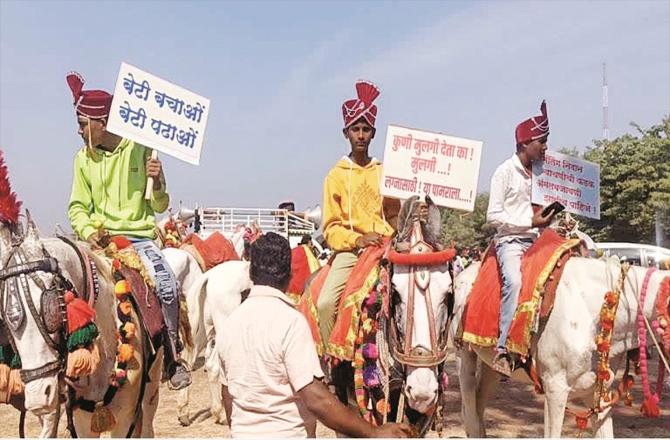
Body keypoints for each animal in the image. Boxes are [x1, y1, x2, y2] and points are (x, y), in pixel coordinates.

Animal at [0, 217, 163, 436]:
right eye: (5, 319)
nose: (37, 395)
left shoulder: (124, 418)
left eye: (51, 308)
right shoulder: (81, 419)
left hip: (153, 379)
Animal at [452, 230, 670, 436]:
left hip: (491, 366)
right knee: (469, 409)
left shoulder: (598, 393)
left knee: (479, 406)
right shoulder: (554, 388)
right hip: (463, 354)